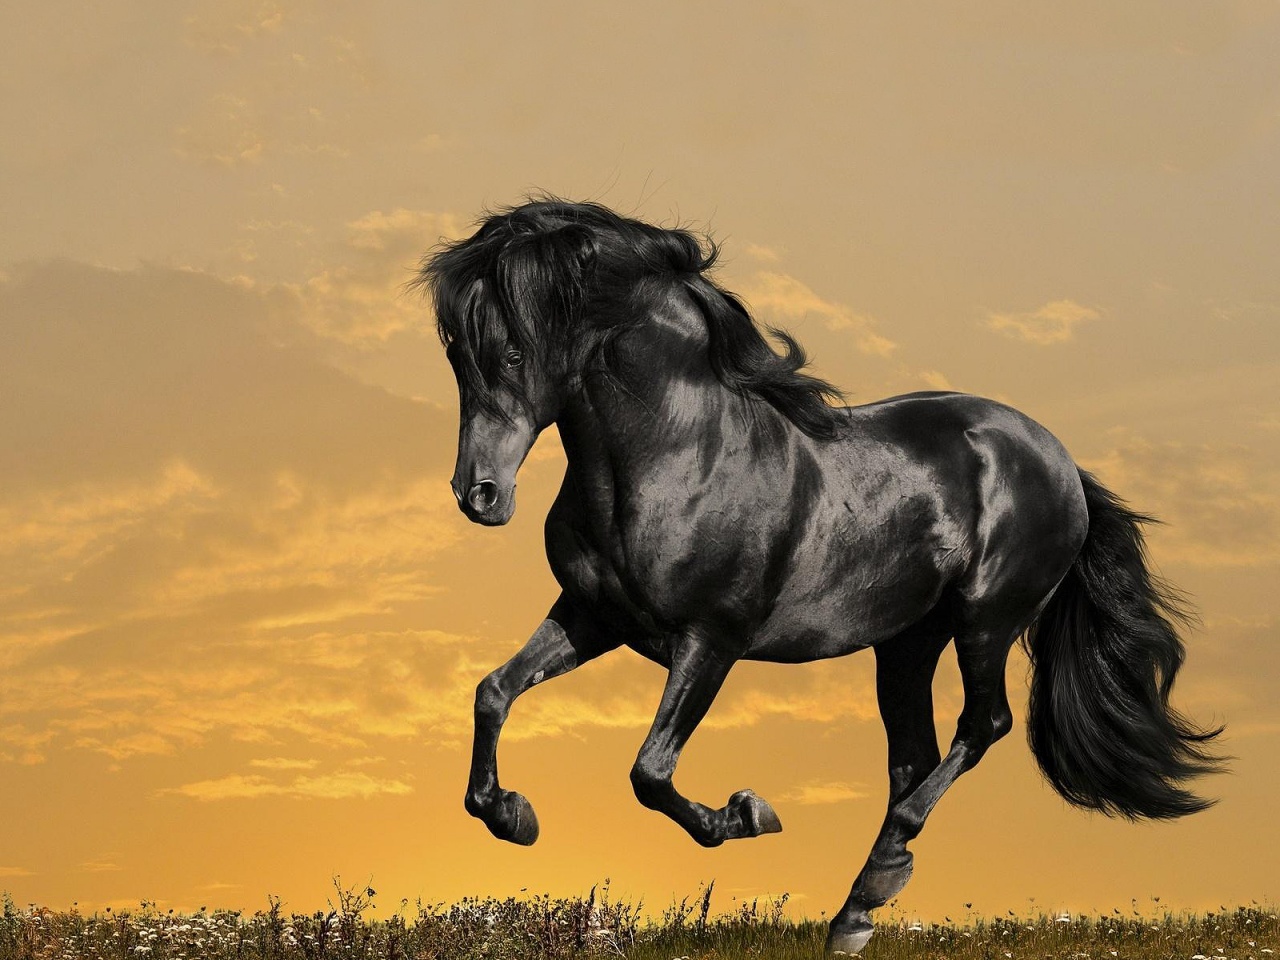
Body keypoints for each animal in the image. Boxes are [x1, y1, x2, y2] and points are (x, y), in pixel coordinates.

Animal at [416, 199, 1223, 955]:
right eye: (456, 354)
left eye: (513, 352)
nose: (479, 495)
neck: (678, 456)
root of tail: (1059, 462)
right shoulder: (594, 617)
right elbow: (494, 692)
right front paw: (513, 816)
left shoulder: (711, 640)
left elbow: (650, 771)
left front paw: (747, 813)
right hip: (906, 644)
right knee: (914, 758)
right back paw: (854, 915)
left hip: (985, 622)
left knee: (982, 725)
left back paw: (877, 880)